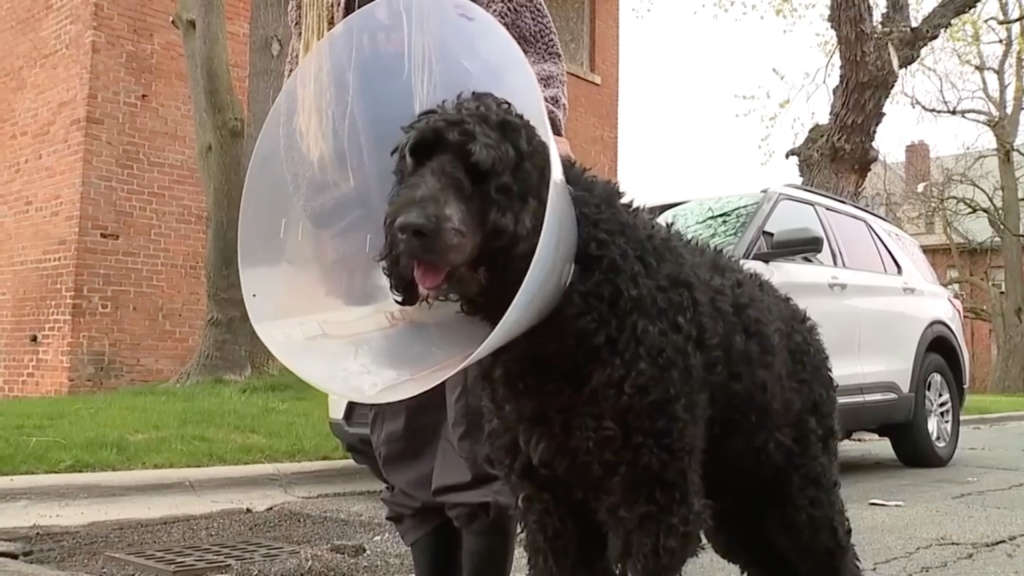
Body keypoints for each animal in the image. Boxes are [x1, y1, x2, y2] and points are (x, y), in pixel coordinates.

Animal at [380, 91, 860, 569]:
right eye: (416, 161)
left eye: (480, 167)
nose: (408, 228)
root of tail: (802, 324)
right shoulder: (551, 502)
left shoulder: (651, 498)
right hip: (740, 500)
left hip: (797, 489)